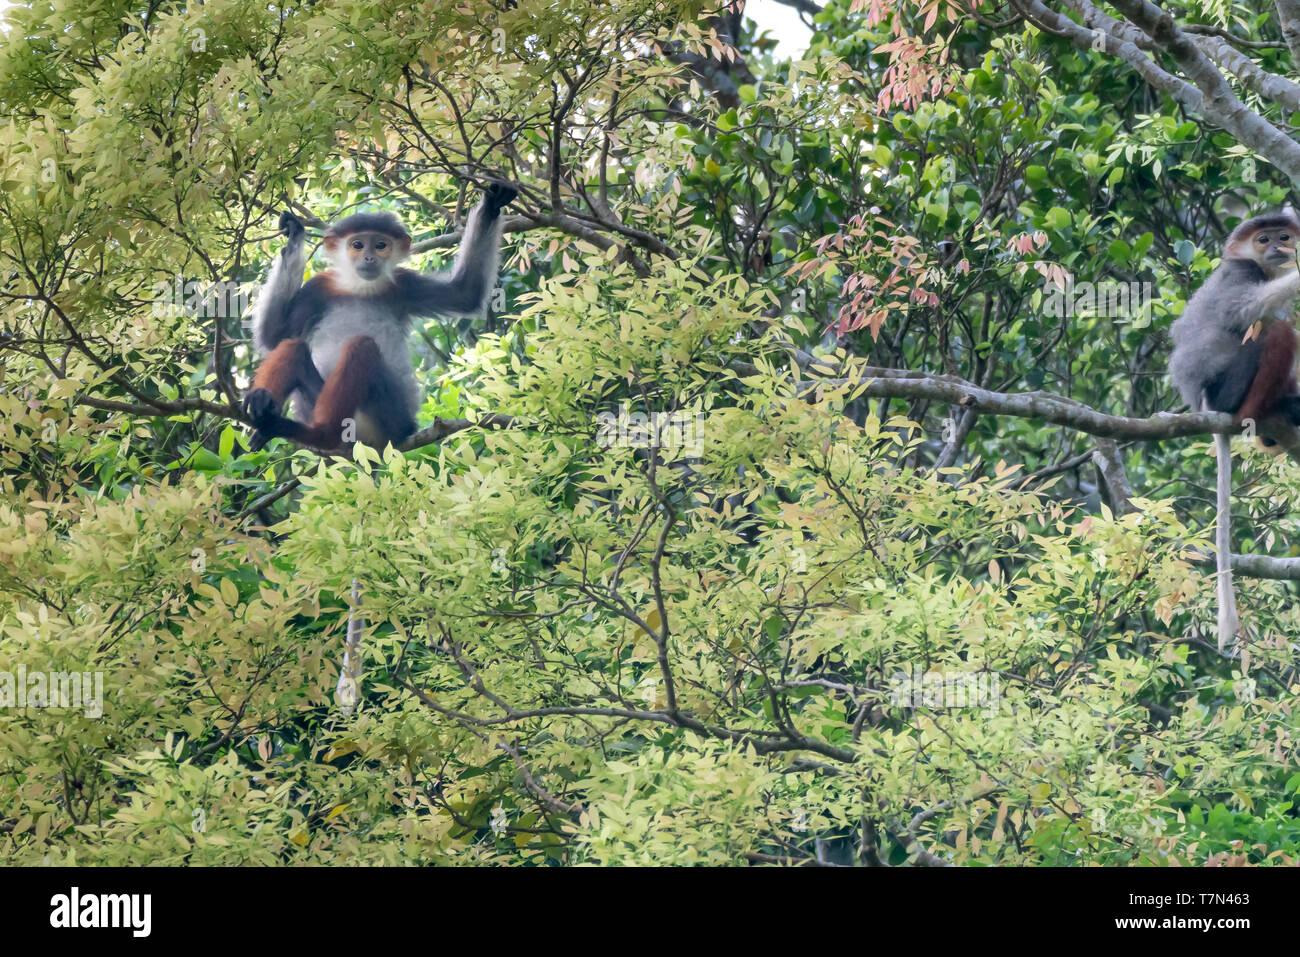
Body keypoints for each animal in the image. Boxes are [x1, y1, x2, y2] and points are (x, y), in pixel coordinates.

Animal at [241, 180, 514, 449]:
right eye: (357, 245)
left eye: (381, 245)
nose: (369, 257)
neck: (359, 287)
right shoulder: (319, 286)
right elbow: (273, 336)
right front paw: (294, 234)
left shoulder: (403, 285)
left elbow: (466, 292)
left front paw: (492, 204)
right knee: (294, 347)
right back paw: (263, 404)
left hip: (390, 417)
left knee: (362, 345)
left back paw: (321, 434)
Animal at [1170, 206, 1300, 655]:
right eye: (1263, 240)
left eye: (1283, 236)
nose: (1279, 247)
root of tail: (1205, 406)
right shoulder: (1239, 273)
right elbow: (1244, 310)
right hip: (1230, 389)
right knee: (1278, 331)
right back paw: (1263, 412)